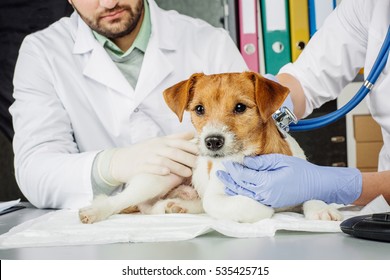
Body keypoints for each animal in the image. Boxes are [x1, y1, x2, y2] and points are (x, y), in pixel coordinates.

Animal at [79, 71, 342, 223]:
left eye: (240, 107)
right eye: (199, 109)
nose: (212, 141)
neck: (253, 159)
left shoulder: (298, 177)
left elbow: (311, 193)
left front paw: (321, 208)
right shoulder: (218, 197)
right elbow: (240, 205)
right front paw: (264, 207)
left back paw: (174, 207)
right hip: (158, 177)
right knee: (124, 201)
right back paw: (96, 212)